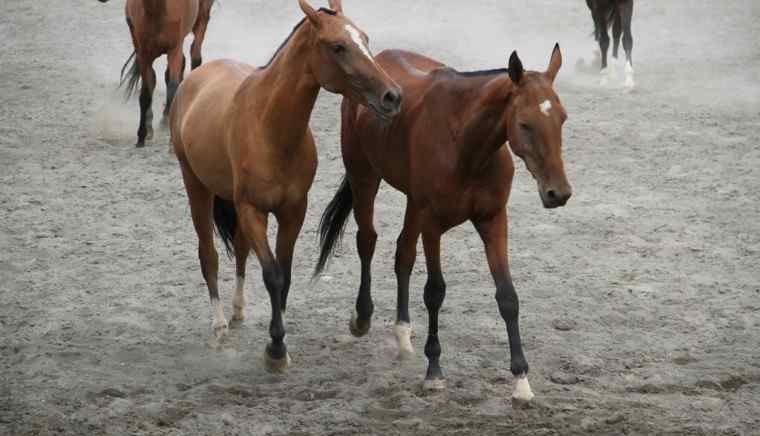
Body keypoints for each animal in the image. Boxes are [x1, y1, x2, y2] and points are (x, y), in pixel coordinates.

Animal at [99, 0, 215, 146]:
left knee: (195, 56)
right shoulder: (144, 54)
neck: (156, 9)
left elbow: (172, 87)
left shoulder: (174, 48)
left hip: (202, 18)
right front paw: (143, 134)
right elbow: (146, 92)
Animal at [168, 0, 400, 372]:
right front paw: (275, 349)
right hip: (196, 186)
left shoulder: (293, 211)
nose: (392, 96)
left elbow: (285, 274)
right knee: (209, 255)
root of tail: (197, 78)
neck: (270, 127)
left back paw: (238, 310)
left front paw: (280, 337)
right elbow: (272, 274)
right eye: (338, 46)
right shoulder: (253, 210)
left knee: (241, 250)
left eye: (364, 38)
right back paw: (219, 327)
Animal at [314, 45, 568, 402]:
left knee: (403, 254)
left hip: (412, 202)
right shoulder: (432, 224)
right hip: (364, 176)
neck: (466, 143)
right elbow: (435, 291)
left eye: (562, 118)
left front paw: (521, 380)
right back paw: (362, 317)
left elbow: (507, 296)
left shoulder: (493, 220)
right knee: (367, 240)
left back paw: (403, 333)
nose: (558, 193)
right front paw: (434, 370)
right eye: (525, 123)